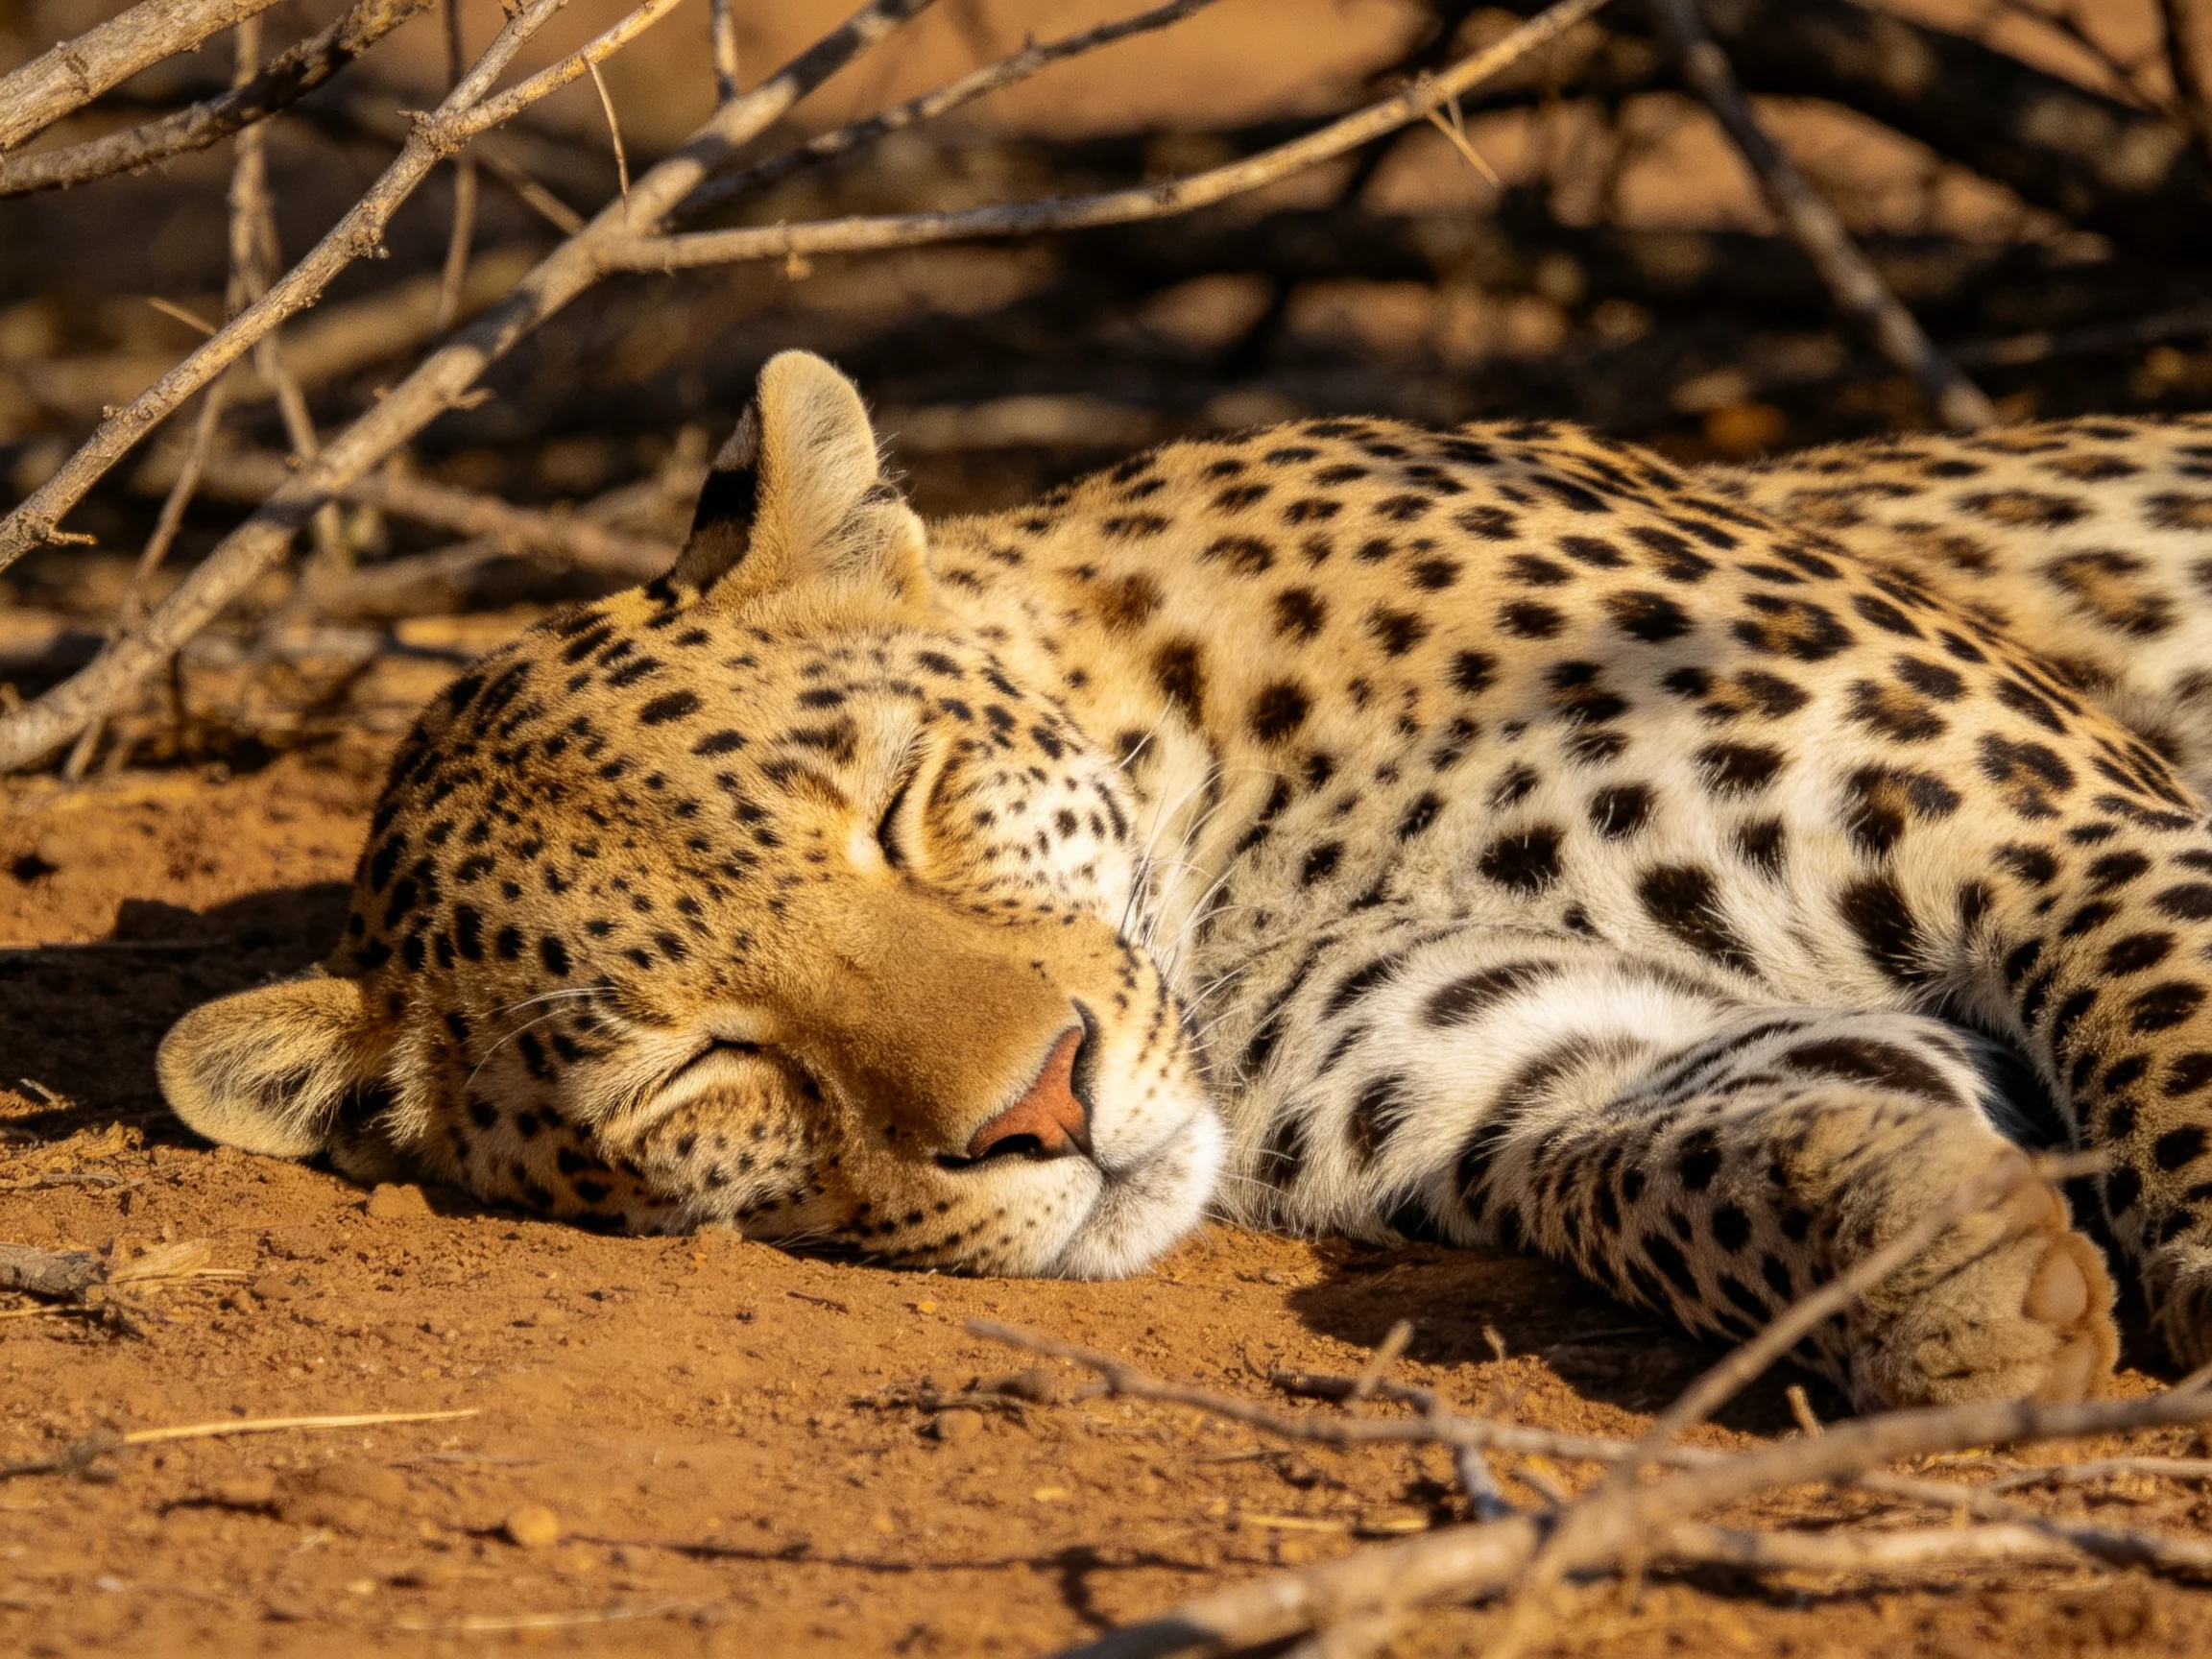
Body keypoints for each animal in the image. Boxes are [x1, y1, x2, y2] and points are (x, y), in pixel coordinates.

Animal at [158, 350, 2212, 1412]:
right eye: (695, 1067)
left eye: (898, 808)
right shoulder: (1516, 1052)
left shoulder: (2036, 826)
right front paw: (1940, 1269)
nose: (1044, 1108)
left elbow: (2169, 1042)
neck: (1242, 854)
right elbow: (1674, 1157)